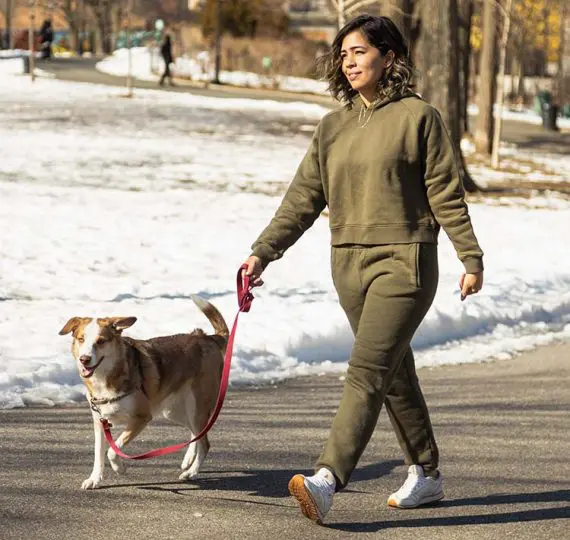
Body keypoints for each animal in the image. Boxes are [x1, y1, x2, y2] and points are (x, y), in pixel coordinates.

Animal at [57, 296, 226, 490]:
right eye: (81, 339)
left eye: (100, 341)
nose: (84, 359)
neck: (107, 376)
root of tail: (207, 338)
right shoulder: (100, 422)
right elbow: (99, 453)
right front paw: (94, 479)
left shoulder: (142, 418)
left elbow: (112, 451)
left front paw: (120, 468)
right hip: (174, 411)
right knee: (197, 434)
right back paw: (188, 460)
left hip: (197, 406)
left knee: (204, 442)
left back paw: (191, 472)